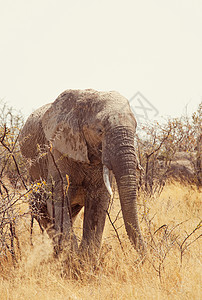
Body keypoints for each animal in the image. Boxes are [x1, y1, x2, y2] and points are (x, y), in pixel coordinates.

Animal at [19, 88, 144, 258]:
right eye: (100, 130)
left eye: (135, 127)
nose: (145, 258)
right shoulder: (57, 150)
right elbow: (59, 196)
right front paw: (72, 259)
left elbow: (99, 201)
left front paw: (84, 260)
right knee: (43, 213)